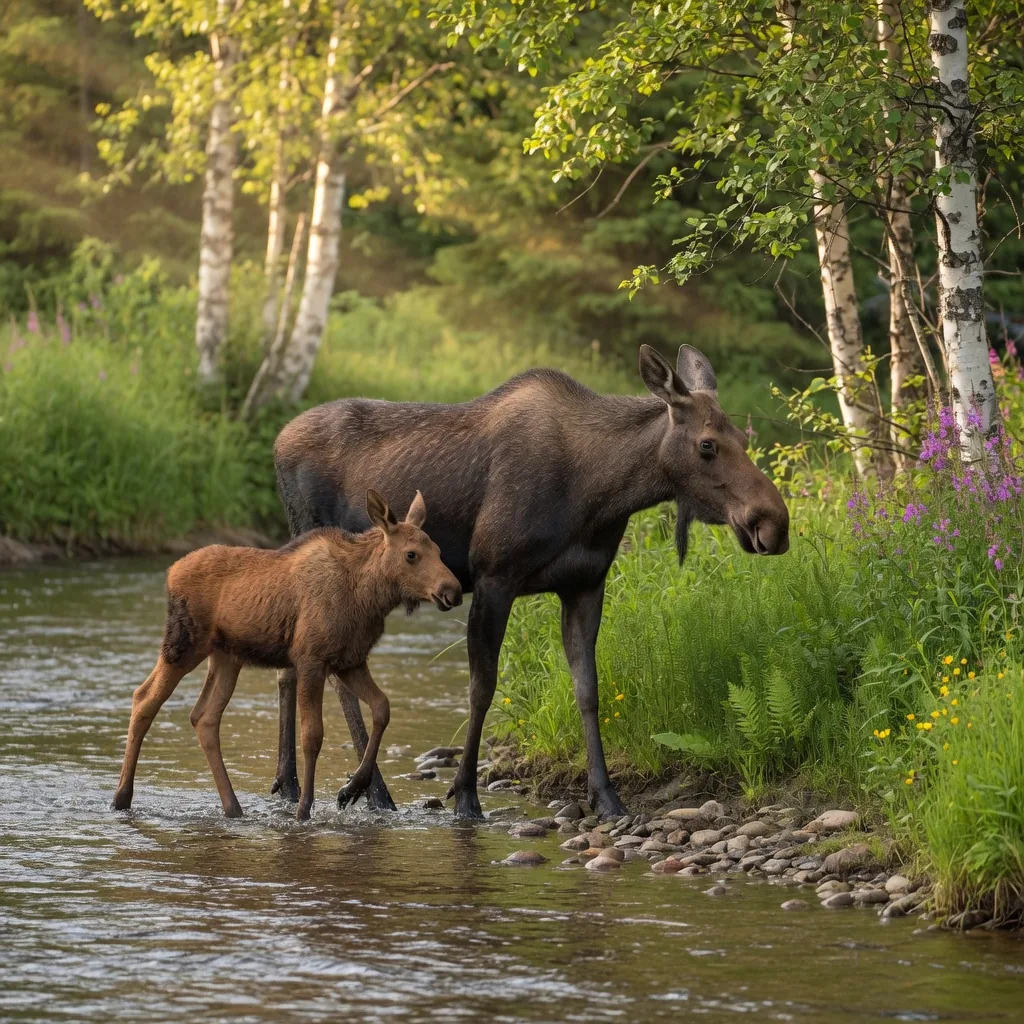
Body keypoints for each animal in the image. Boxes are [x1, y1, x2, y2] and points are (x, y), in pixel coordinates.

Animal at [111, 490, 462, 821]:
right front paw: (304, 809)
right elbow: (312, 736)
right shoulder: (310, 660)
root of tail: (170, 573)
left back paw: (232, 807)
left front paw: (352, 788)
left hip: (227, 657)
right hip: (183, 645)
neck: (368, 595)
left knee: (204, 717)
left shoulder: (351, 661)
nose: (453, 591)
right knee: (144, 698)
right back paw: (121, 798)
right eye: (411, 554)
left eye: (439, 551)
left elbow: (382, 707)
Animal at [271, 344, 791, 820]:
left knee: (290, 666)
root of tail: (277, 442)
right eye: (707, 444)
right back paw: (370, 790)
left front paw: (606, 797)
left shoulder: (585, 585)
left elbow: (588, 689)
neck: (600, 494)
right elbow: (481, 689)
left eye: (742, 438)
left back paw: (288, 781)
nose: (773, 523)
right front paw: (466, 795)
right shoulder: (494, 578)